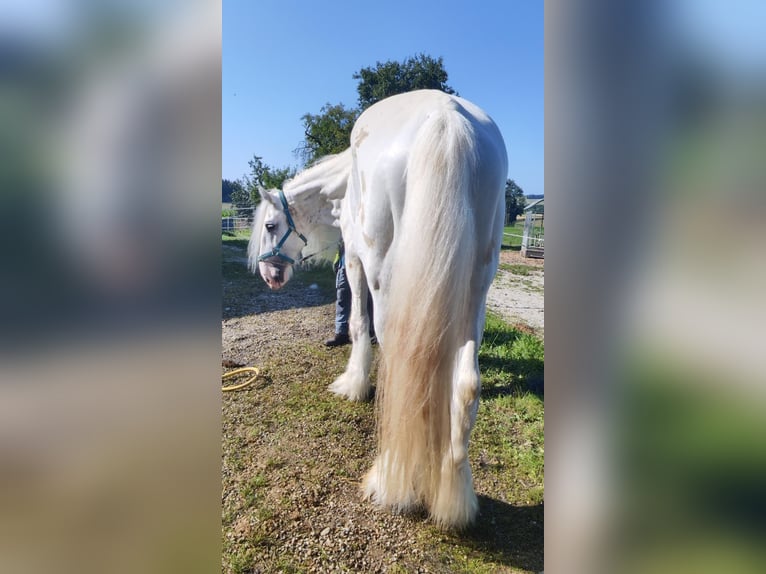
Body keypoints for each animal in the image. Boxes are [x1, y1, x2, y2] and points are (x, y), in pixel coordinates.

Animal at [248, 89, 507, 528]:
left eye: (270, 226)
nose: (270, 275)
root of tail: (447, 118)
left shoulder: (354, 258)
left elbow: (357, 322)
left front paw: (353, 383)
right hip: (477, 286)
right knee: (467, 382)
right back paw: (454, 494)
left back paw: (390, 483)